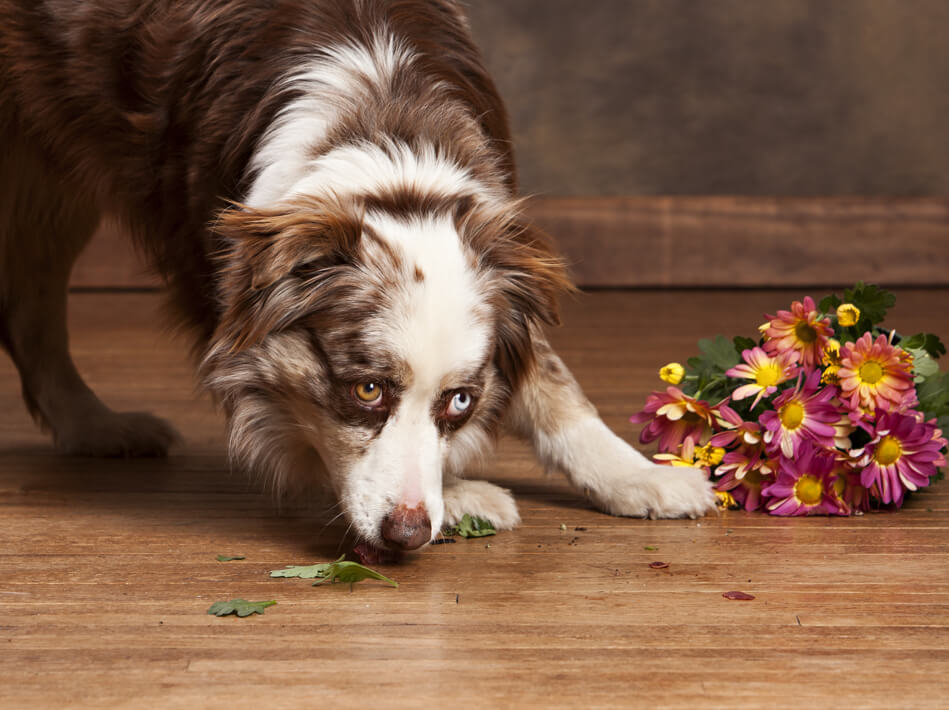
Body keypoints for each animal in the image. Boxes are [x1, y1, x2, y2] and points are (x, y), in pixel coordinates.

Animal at [0, 0, 712, 552]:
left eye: (461, 401)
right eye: (366, 390)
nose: (408, 535)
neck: (387, 140)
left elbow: (554, 382)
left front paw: (638, 475)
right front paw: (461, 494)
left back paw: (95, 428)